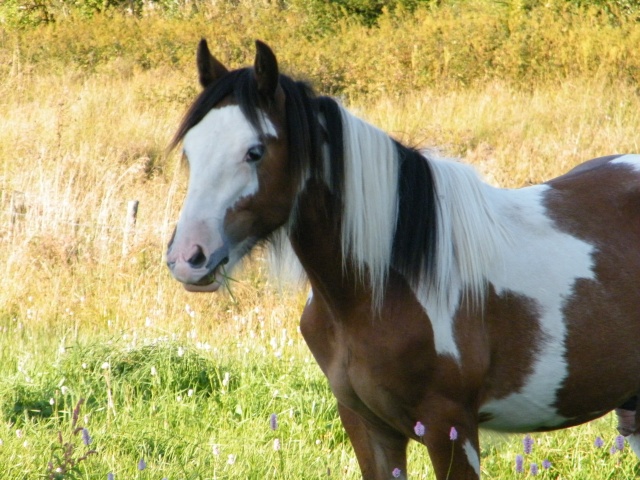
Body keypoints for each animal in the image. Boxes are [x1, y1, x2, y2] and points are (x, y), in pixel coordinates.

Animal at [166, 39, 640, 478]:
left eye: (255, 152)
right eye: (190, 151)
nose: (189, 256)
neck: (380, 288)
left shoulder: (450, 428)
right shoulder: (368, 425)